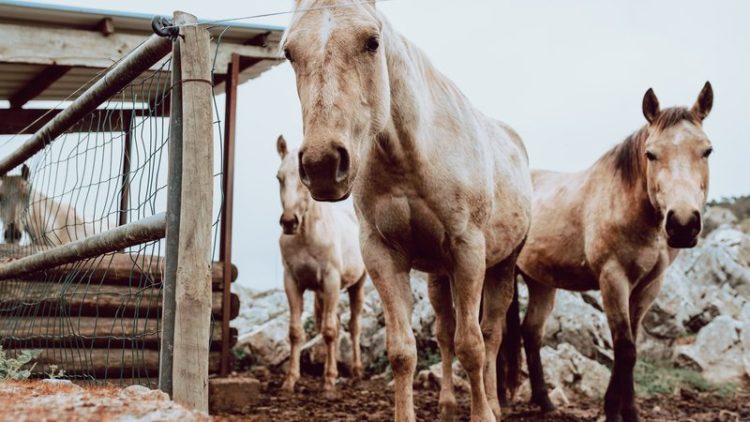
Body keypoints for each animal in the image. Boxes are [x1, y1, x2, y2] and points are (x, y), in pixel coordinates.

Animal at [275, 135, 368, 395]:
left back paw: (356, 370)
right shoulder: (292, 281)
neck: (308, 236)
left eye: (302, 177)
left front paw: (328, 382)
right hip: (321, 293)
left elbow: (329, 331)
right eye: (279, 177)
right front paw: (290, 381)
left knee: (353, 326)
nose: (289, 222)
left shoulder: (331, 279)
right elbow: (296, 332)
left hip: (356, 285)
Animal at [508, 83, 714, 422]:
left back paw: (545, 401)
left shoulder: (647, 287)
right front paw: (614, 411)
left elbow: (630, 350)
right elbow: (625, 349)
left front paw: (626, 411)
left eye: (707, 150)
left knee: (531, 332)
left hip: (541, 282)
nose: (683, 224)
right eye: (650, 154)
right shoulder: (613, 279)